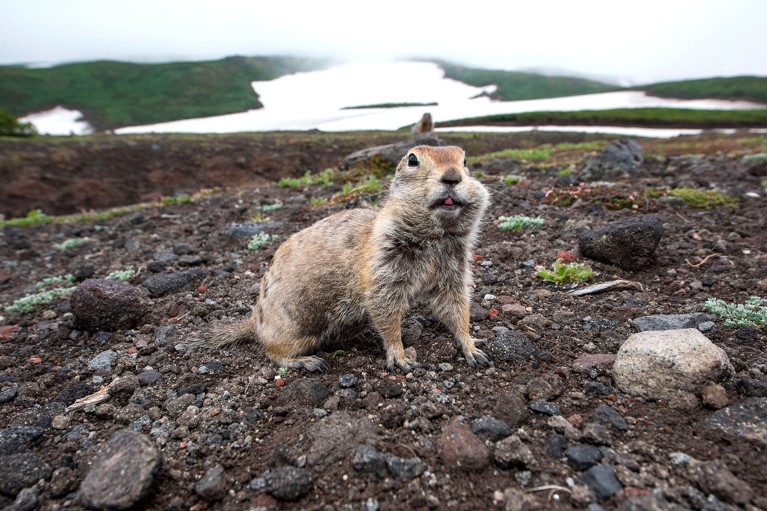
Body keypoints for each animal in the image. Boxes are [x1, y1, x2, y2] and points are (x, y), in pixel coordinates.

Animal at [207, 145, 491, 372]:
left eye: (465, 160)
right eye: (413, 159)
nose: (453, 176)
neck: (436, 236)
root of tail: (254, 320)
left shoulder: (454, 264)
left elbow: (454, 303)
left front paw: (473, 347)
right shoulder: (384, 263)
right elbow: (384, 305)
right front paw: (400, 356)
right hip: (294, 324)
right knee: (271, 351)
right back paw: (307, 361)